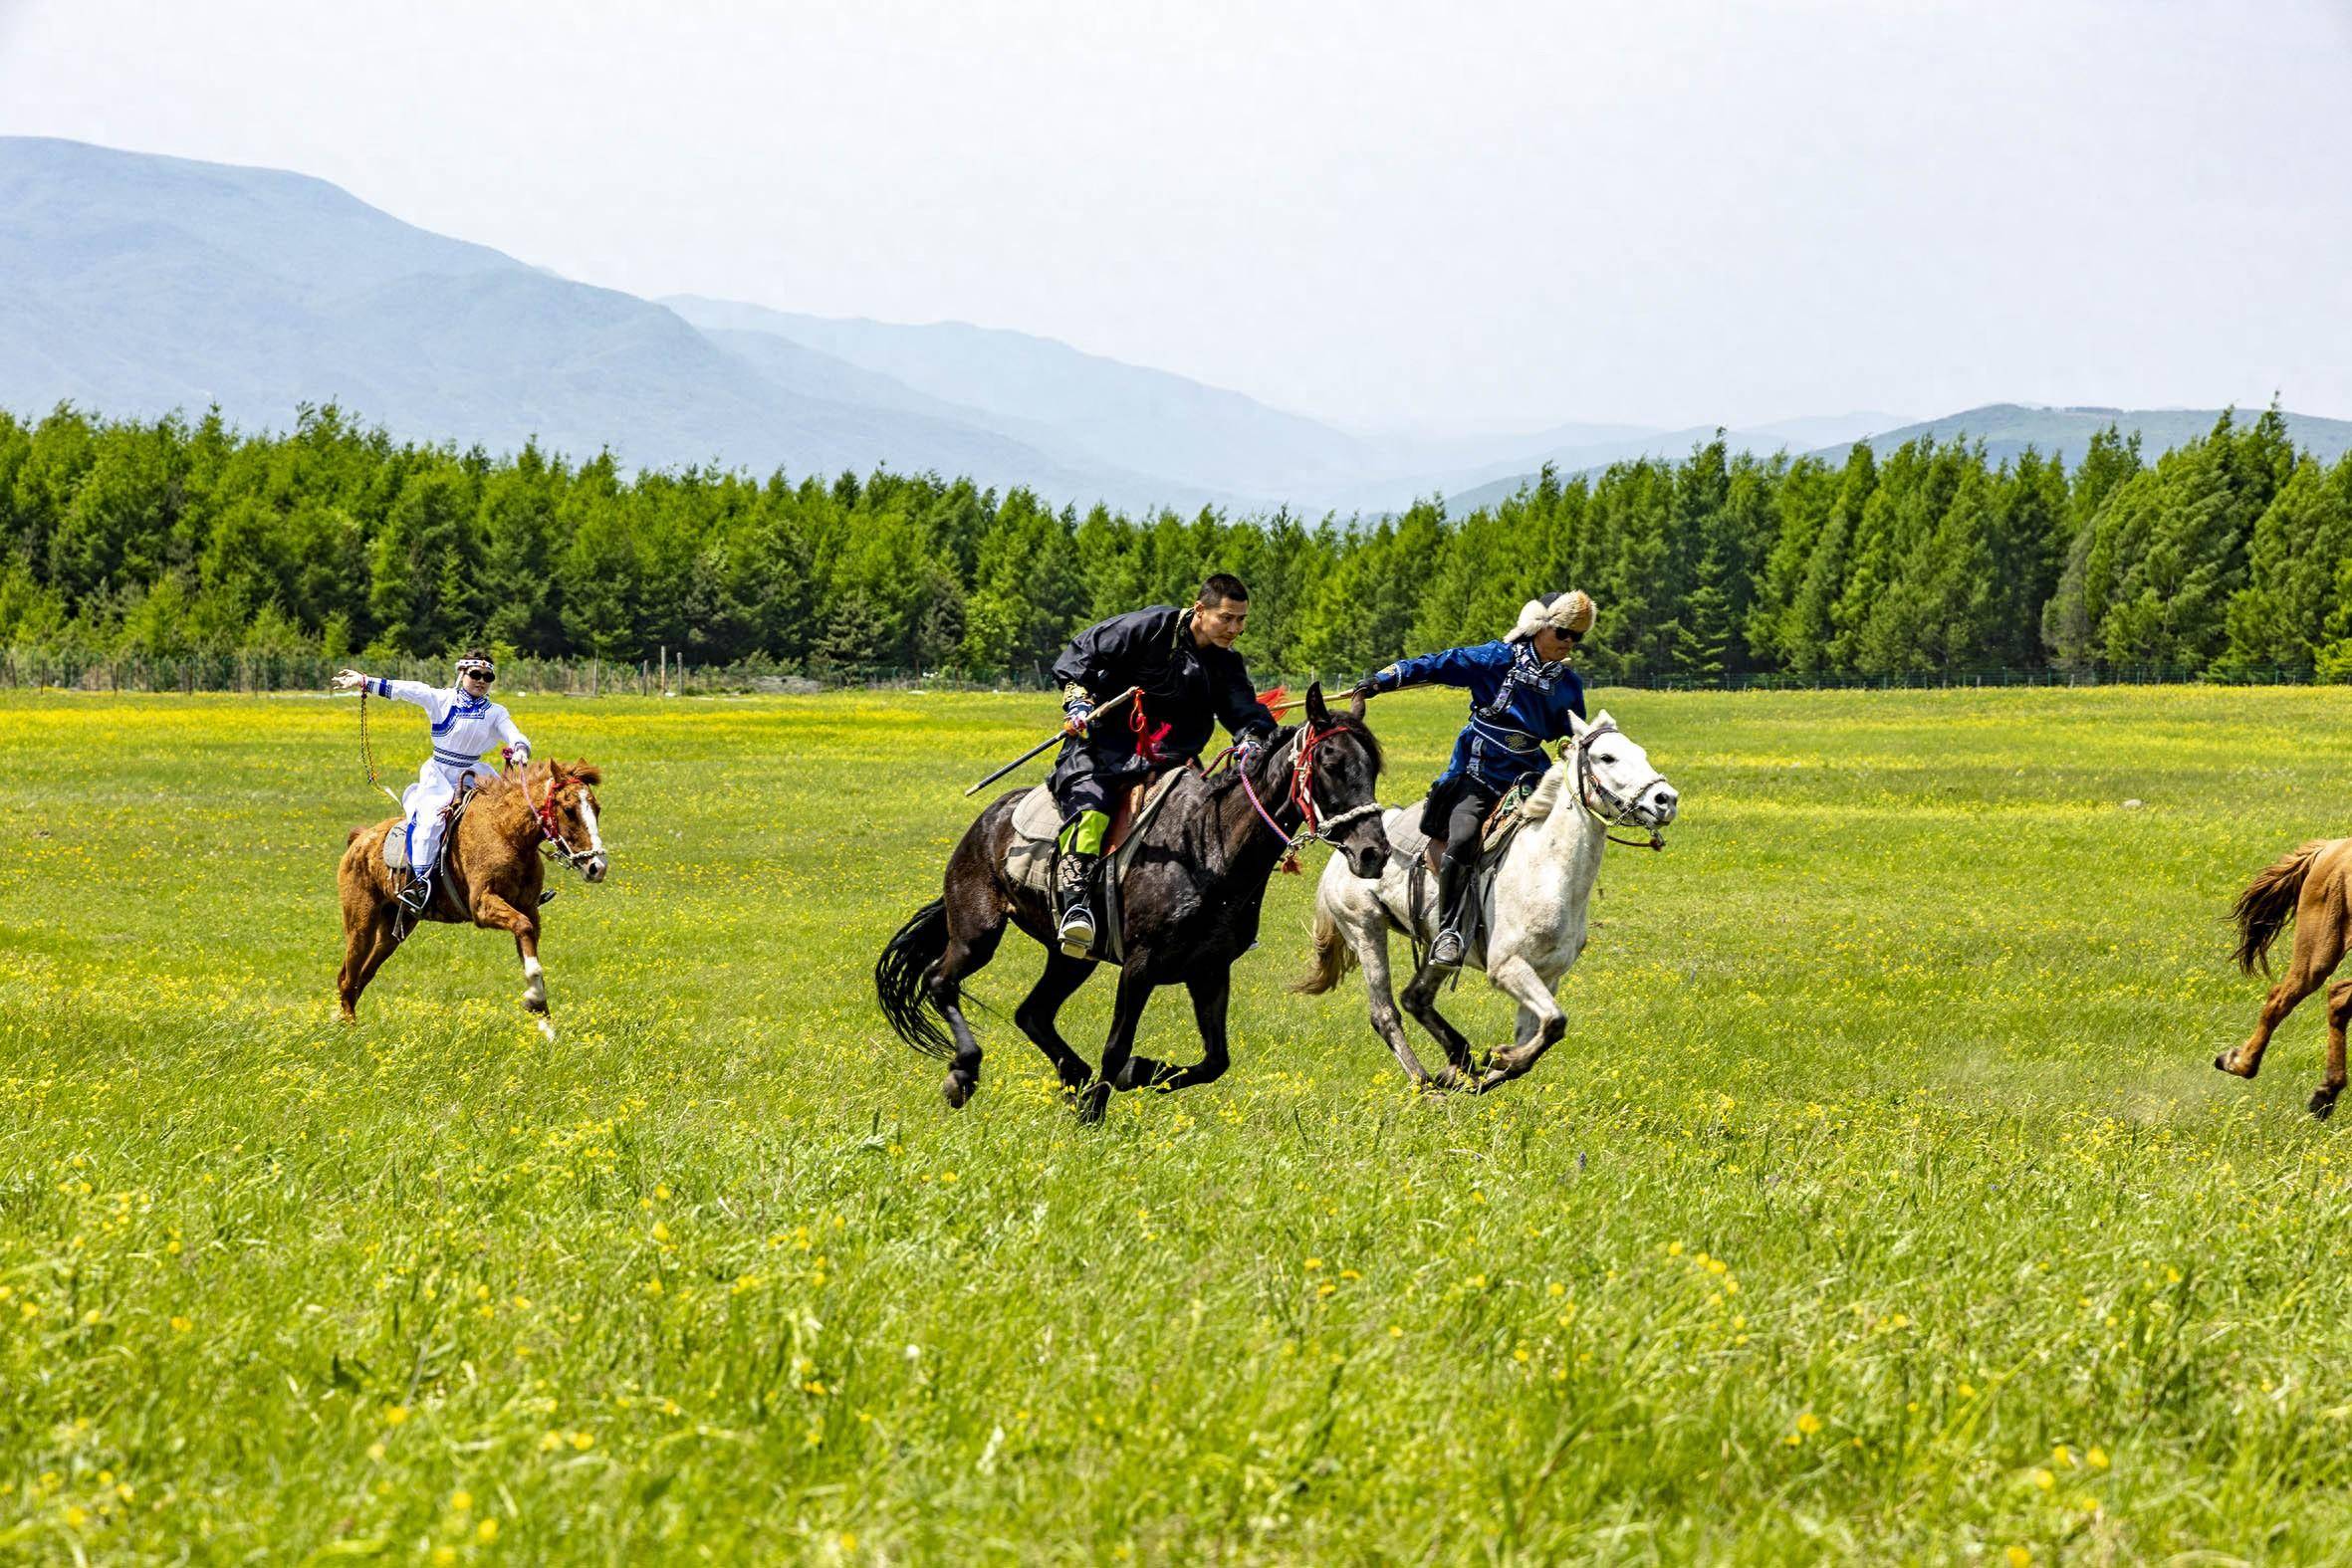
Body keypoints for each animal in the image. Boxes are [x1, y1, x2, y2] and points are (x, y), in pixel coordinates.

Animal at [334, 762, 611, 1043]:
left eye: (598, 808)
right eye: (568, 810)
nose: (596, 867)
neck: (506, 831)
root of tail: (360, 839)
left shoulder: (529, 910)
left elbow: (530, 951)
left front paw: (547, 1027)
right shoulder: (484, 906)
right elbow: (523, 930)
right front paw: (533, 1000)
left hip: (393, 932)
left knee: (362, 976)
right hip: (361, 924)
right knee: (347, 977)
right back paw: (350, 1031)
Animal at [884, 681, 1392, 1123]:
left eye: (1371, 768)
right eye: (1330, 763)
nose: (1374, 852)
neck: (1207, 844)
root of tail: (987, 821)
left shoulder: (1209, 971)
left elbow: (1215, 1061)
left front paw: (1135, 1076)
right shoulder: (1140, 966)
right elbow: (1117, 1048)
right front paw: (1095, 1114)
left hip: (1072, 958)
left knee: (1032, 1013)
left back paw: (1072, 1075)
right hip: (978, 932)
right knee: (940, 981)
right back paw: (964, 1072)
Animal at [1297, 710, 1684, 1090]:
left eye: (1641, 753)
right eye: (1607, 757)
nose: (1666, 799)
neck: (1546, 867)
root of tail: (1344, 851)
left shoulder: (1546, 976)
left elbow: (1542, 1033)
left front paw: (1496, 1063)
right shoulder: (1508, 967)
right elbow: (1555, 1021)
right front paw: (1500, 1058)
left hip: (1436, 951)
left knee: (1415, 998)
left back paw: (1457, 1061)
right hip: (1365, 930)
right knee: (1385, 1012)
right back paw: (1427, 1084)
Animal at [2211, 831, 2352, 1114]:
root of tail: (2329, 848)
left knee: (2338, 998)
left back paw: (2325, 1094)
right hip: (2319, 953)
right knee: (2281, 1000)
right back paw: (2237, 1063)